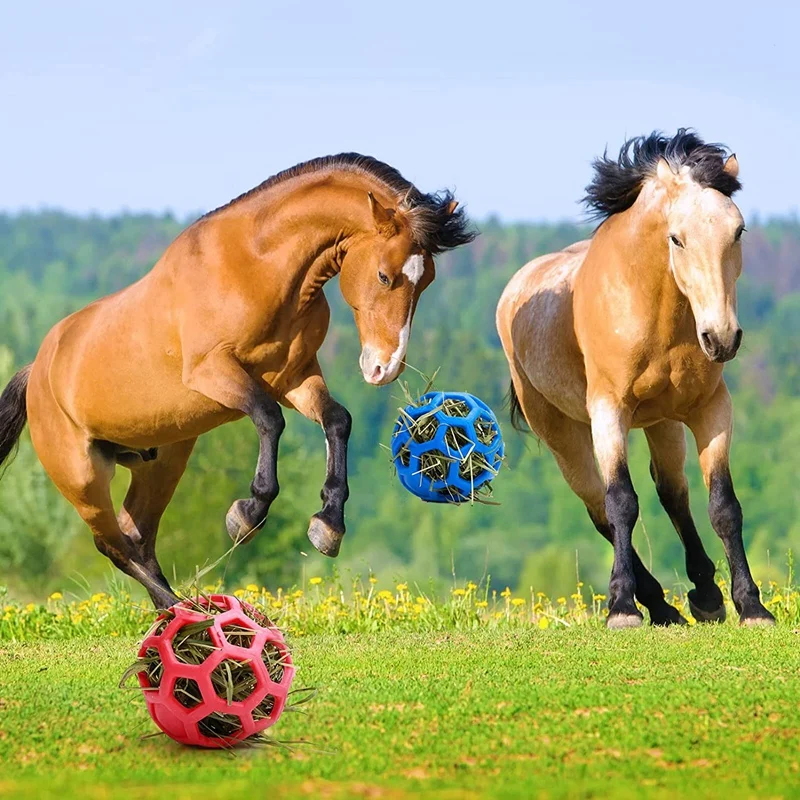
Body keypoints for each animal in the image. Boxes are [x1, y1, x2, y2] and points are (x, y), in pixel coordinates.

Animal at [0, 155, 476, 608]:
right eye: (383, 275)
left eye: (426, 280)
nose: (384, 368)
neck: (257, 269)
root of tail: (36, 371)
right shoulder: (214, 372)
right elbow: (269, 419)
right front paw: (247, 514)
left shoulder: (295, 376)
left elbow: (337, 420)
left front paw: (328, 525)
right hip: (82, 478)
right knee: (111, 544)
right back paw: (185, 612)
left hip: (162, 462)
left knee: (137, 536)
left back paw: (181, 613)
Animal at [500, 131, 776, 628]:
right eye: (677, 238)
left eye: (738, 231)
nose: (722, 338)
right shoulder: (608, 412)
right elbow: (622, 503)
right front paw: (622, 607)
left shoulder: (711, 408)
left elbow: (723, 505)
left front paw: (751, 605)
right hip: (563, 437)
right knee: (599, 508)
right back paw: (655, 602)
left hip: (662, 422)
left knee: (673, 493)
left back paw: (703, 594)